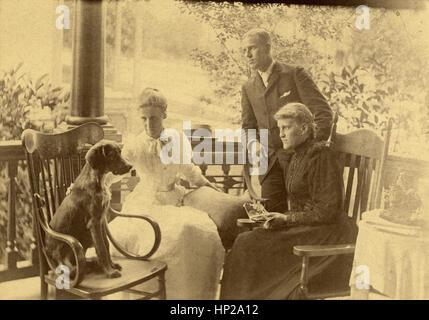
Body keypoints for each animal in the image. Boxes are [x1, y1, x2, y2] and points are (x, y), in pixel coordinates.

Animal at [45, 139, 132, 278]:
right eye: (112, 155)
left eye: (120, 152)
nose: (130, 166)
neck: (98, 181)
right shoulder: (94, 222)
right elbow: (101, 247)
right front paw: (110, 271)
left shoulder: (101, 220)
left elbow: (106, 244)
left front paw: (111, 265)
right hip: (65, 254)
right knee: (72, 268)